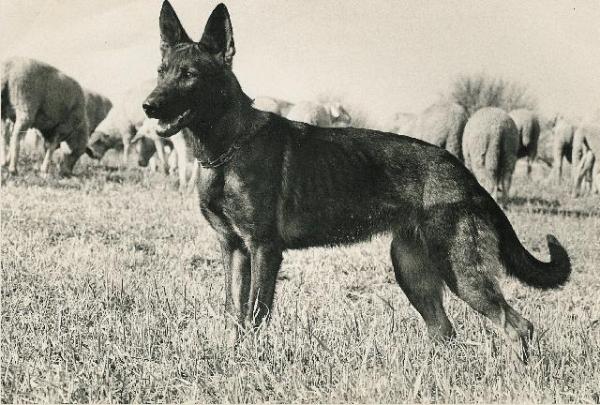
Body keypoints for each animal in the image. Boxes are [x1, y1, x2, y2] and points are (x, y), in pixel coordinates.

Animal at [144, 1, 572, 358]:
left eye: (190, 76)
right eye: (162, 73)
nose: (148, 106)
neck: (229, 147)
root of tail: (462, 172)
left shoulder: (264, 249)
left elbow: (256, 313)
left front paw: (251, 361)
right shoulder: (234, 250)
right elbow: (235, 313)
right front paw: (233, 358)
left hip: (460, 273)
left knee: (518, 325)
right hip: (412, 272)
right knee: (445, 331)